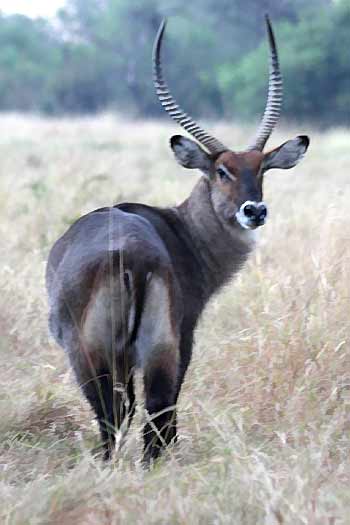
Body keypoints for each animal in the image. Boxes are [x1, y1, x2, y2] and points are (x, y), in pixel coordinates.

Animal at [45, 15, 308, 462]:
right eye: (222, 170)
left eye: (261, 168)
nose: (254, 211)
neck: (181, 229)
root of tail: (131, 254)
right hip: (152, 349)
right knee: (149, 410)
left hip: (102, 352)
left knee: (123, 413)